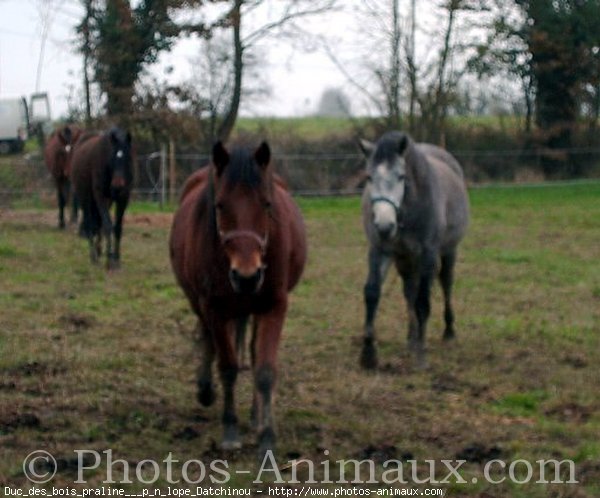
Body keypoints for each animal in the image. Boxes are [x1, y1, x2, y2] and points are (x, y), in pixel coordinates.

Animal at [70, 127, 134, 268]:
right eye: (112, 157)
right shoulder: (101, 196)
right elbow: (108, 225)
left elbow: (117, 227)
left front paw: (116, 259)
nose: (118, 184)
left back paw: (99, 251)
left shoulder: (123, 198)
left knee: (97, 223)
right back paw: (93, 256)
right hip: (86, 199)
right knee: (90, 223)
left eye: (128, 157)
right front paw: (109, 260)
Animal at [171, 142, 308, 458]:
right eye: (220, 205)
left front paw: (267, 436)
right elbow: (228, 367)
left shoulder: (274, 306)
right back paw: (205, 390)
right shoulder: (214, 308)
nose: (247, 276)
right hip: (202, 304)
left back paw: (256, 417)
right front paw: (230, 431)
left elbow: (265, 369)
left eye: (267, 205)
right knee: (208, 338)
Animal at [360, 132, 468, 370]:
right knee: (409, 291)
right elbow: (372, 293)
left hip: (448, 252)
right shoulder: (380, 250)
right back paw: (411, 336)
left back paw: (448, 331)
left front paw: (421, 355)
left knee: (446, 284)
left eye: (401, 176)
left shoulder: (428, 256)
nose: (384, 226)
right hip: (405, 260)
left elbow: (423, 302)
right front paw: (368, 354)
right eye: (369, 177)